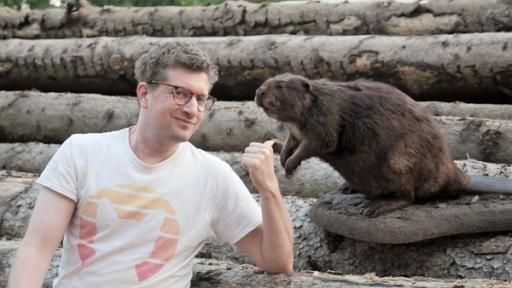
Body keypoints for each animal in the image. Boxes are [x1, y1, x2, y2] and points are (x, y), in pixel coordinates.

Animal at [255, 73, 512, 217]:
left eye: (281, 85)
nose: (258, 91)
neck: (317, 98)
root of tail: (461, 178)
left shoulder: (327, 114)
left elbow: (322, 141)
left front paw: (290, 164)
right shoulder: (297, 129)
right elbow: (294, 140)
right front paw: (283, 156)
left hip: (398, 159)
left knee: (408, 196)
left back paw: (374, 208)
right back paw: (348, 189)